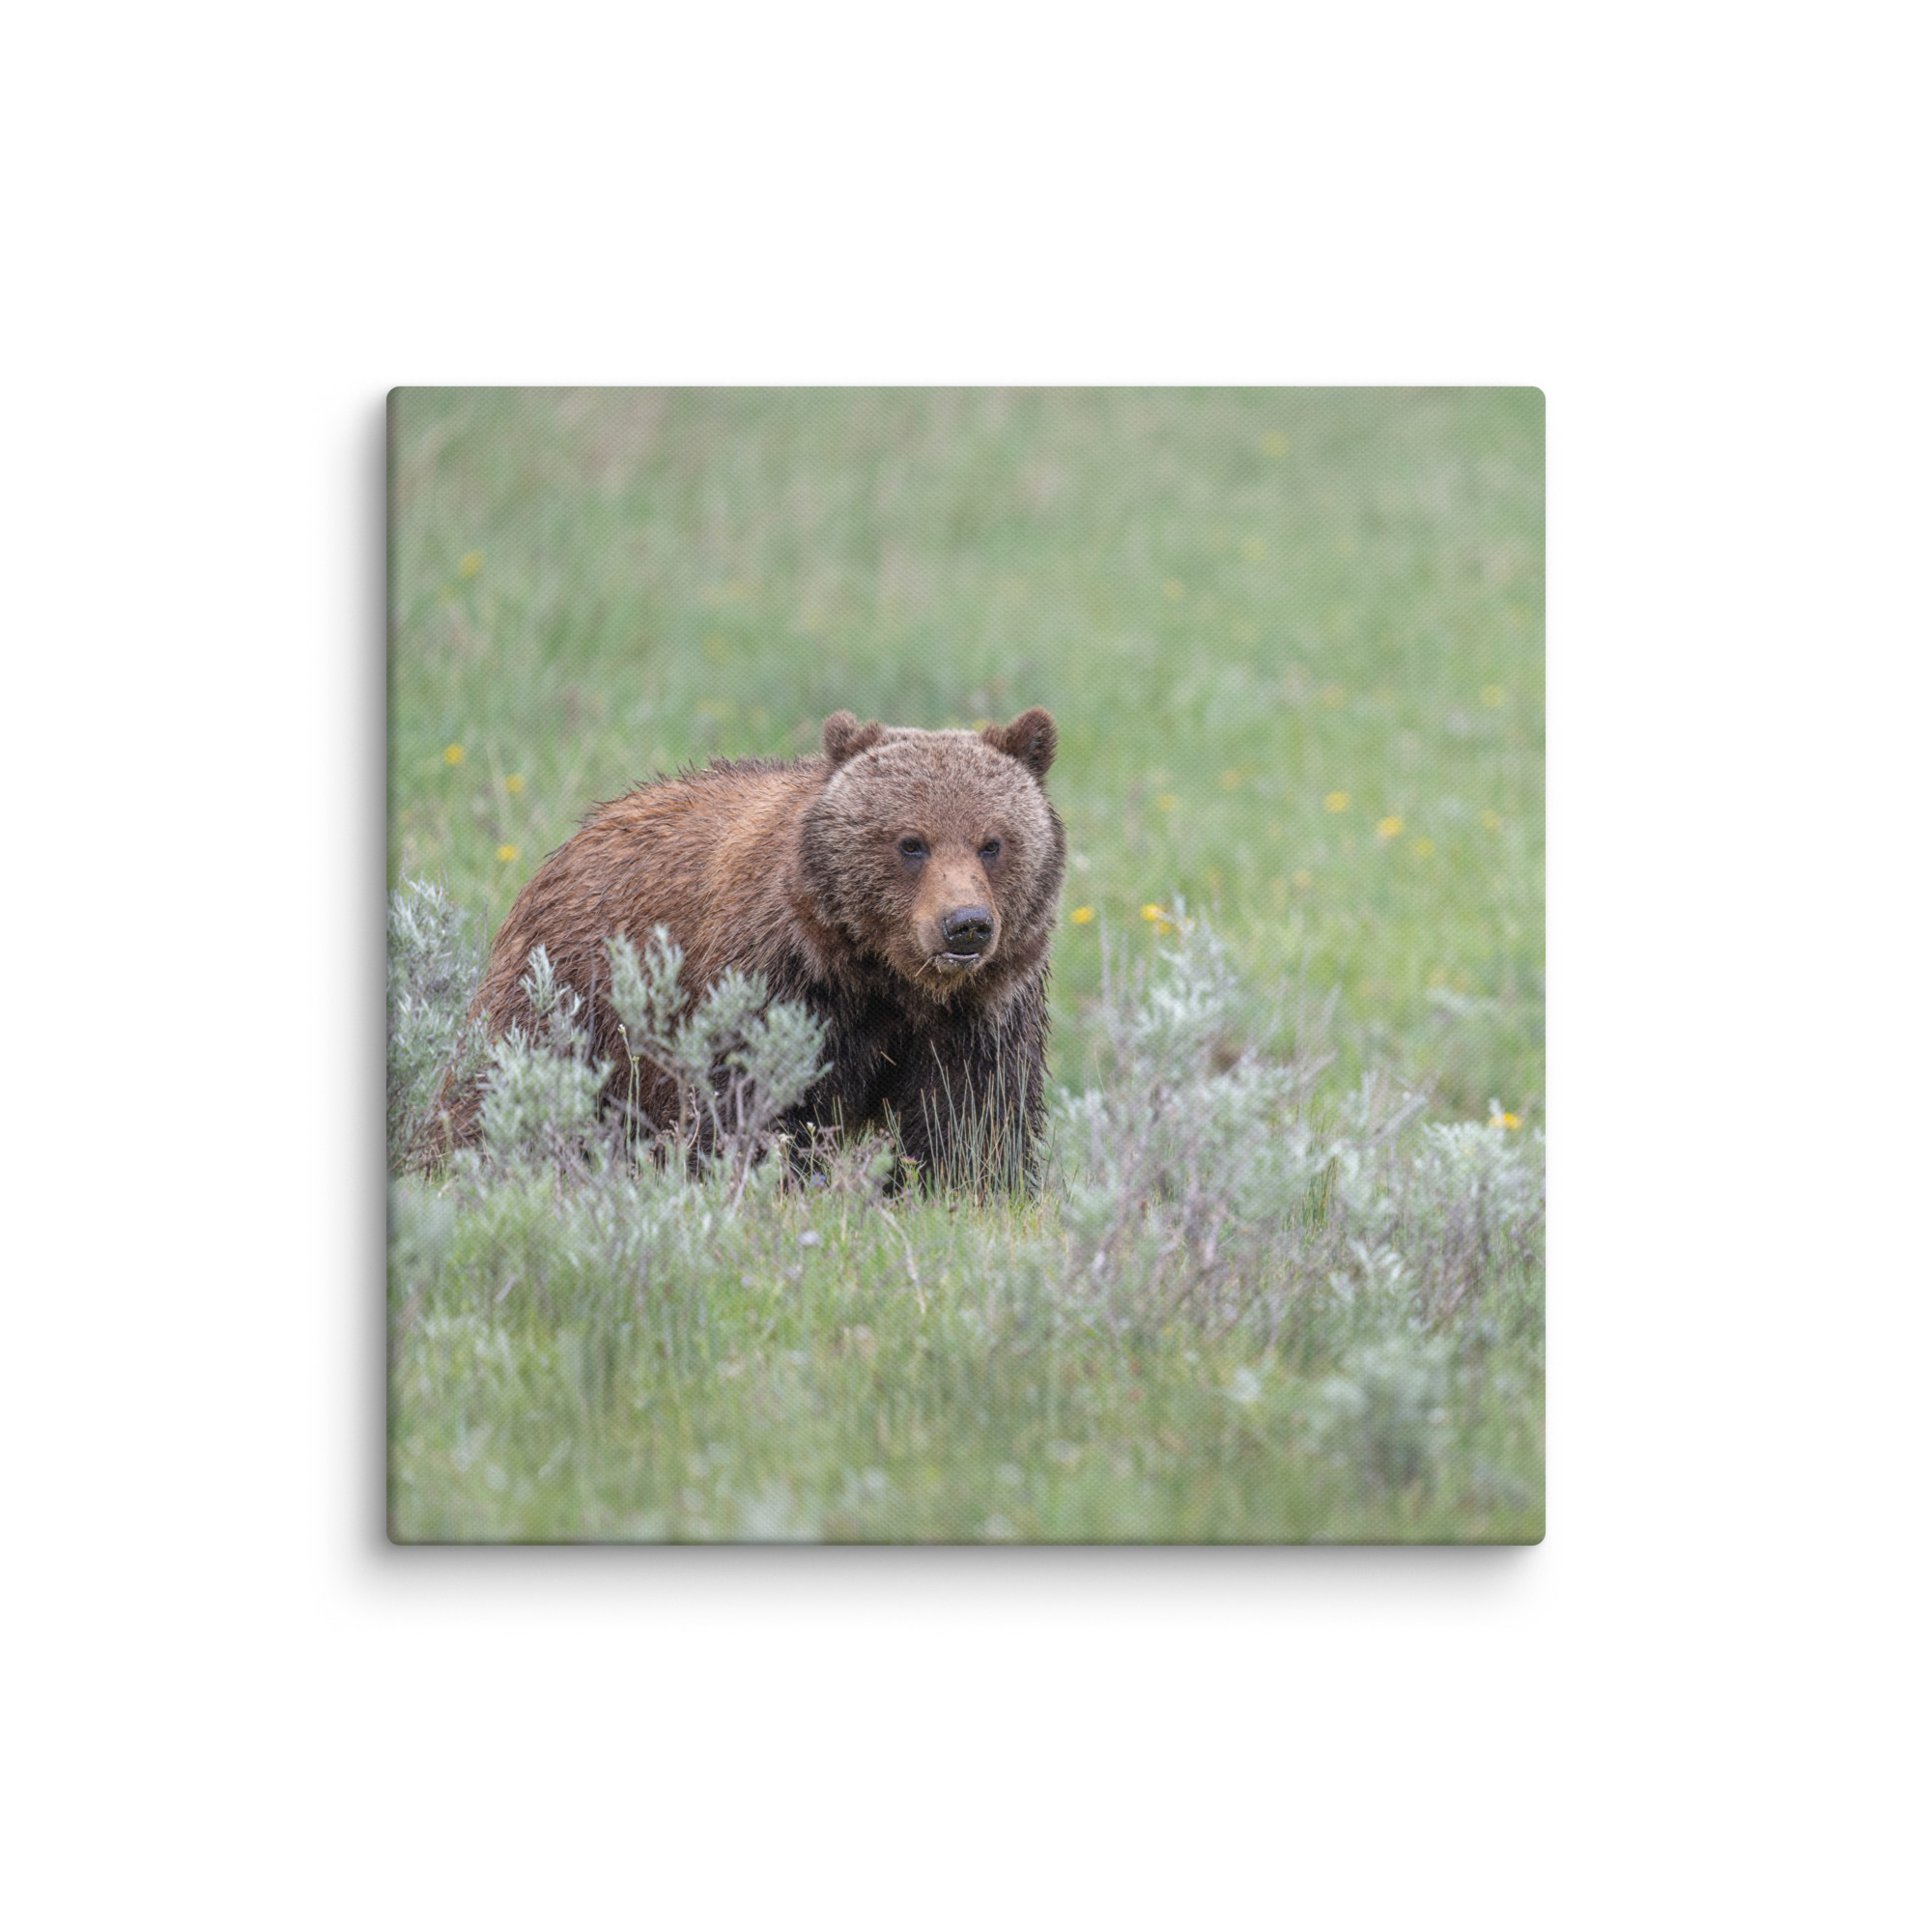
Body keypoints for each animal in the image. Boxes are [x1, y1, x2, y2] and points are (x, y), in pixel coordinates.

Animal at [438, 707, 1066, 1187]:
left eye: (992, 843)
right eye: (911, 843)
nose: (965, 925)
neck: (884, 976)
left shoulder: (980, 1011)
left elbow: (971, 1119)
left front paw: (964, 1187)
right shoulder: (779, 982)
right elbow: (748, 1101)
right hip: (569, 993)